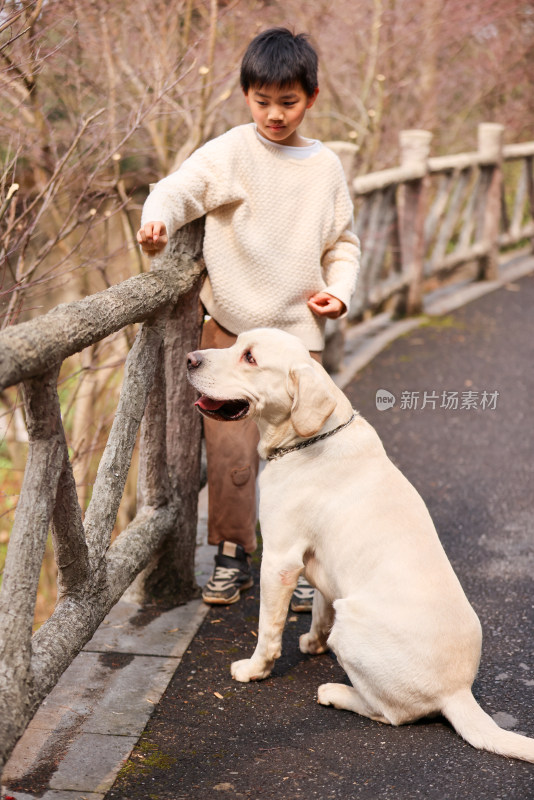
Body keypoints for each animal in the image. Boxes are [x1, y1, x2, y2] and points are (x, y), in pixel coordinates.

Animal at [188, 326, 534, 764]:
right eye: (236, 343)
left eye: (249, 357)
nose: (189, 359)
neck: (308, 439)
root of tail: (458, 692)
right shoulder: (316, 566)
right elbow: (318, 610)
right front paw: (311, 643)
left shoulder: (280, 560)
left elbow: (268, 628)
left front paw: (254, 670)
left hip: (352, 626)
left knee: (391, 714)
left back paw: (336, 692)